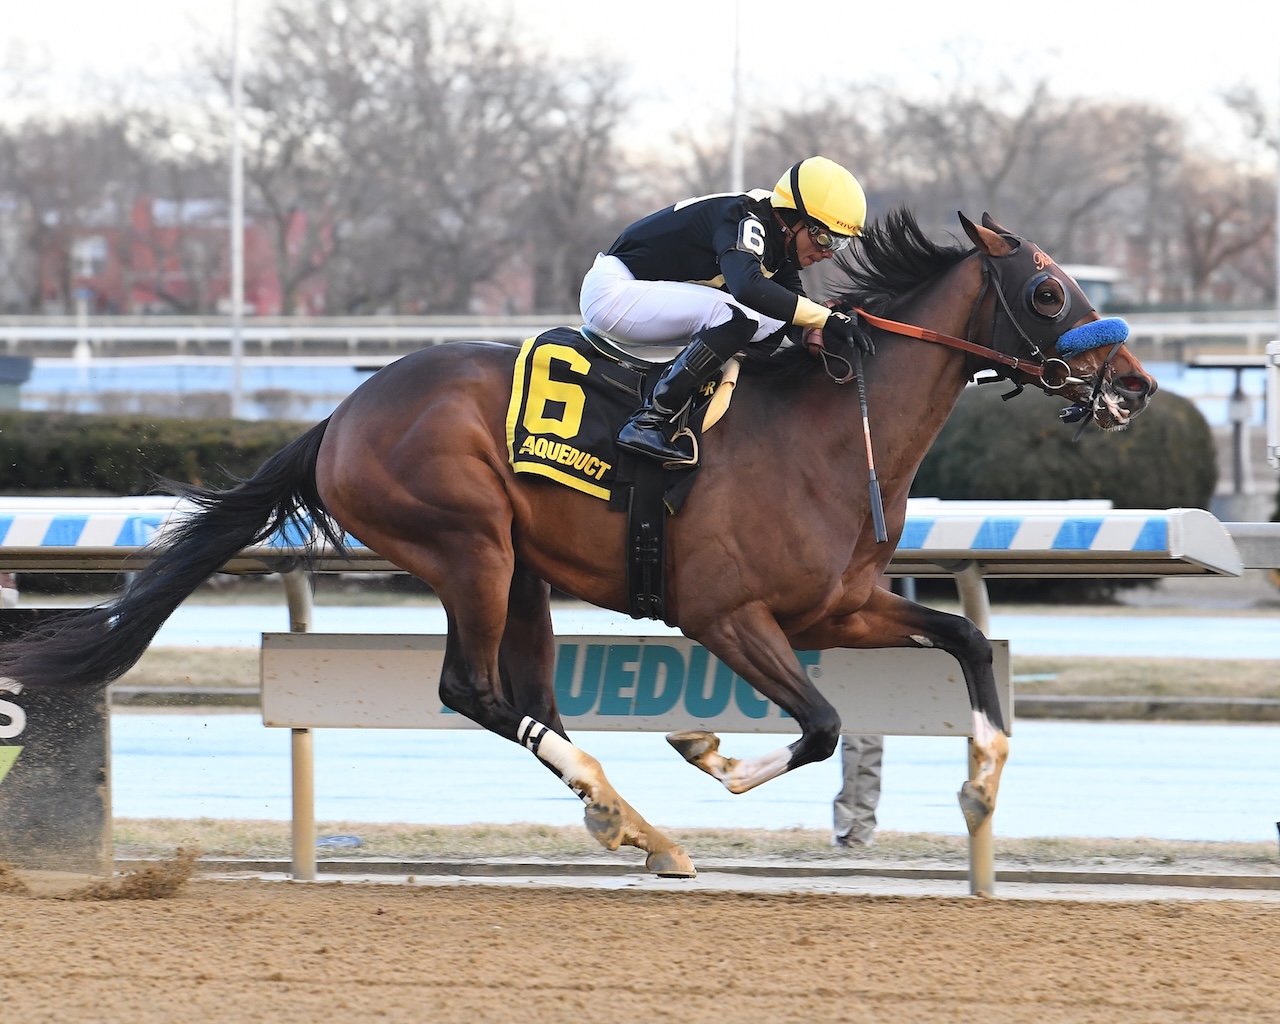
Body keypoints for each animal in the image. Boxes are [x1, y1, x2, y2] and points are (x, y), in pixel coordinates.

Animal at [0, 209, 1162, 880]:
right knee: (471, 689)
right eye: (1049, 290)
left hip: (521, 572)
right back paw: (624, 807)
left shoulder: (839, 605)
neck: (831, 426)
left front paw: (981, 782)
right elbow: (824, 724)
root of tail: (341, 415)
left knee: (526, 696)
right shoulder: (726, 615)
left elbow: (962, 646)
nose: (1137, 387)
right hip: (468, 546)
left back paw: (629, 821)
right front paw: (704, 750)